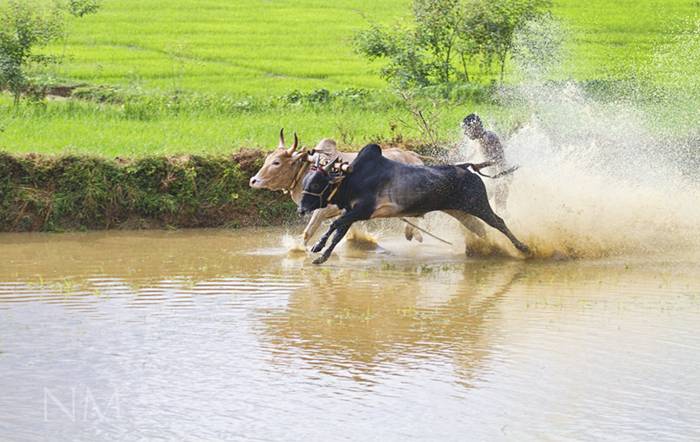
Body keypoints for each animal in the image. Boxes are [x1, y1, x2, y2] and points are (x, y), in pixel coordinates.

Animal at [249, 129, 425, 245]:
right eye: (267, 159)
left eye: (276, 162)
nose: (253, 180)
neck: (308, 169)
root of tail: (413, 155)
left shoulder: (322, 211)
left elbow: (307, 233)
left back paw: (413, 233)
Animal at [298, 143, 531, 264]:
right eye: (305, 181)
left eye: (317, 182)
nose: (301, 209)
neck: (352, 178)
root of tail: (465, 168)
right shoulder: (352, 212)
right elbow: (338, 233)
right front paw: (321, 254)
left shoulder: (363, 211)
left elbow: (334, 225)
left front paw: (318, 247)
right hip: (461, 212)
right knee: (481, 229)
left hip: (478, 205)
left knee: (499, 222)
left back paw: (524, 248)